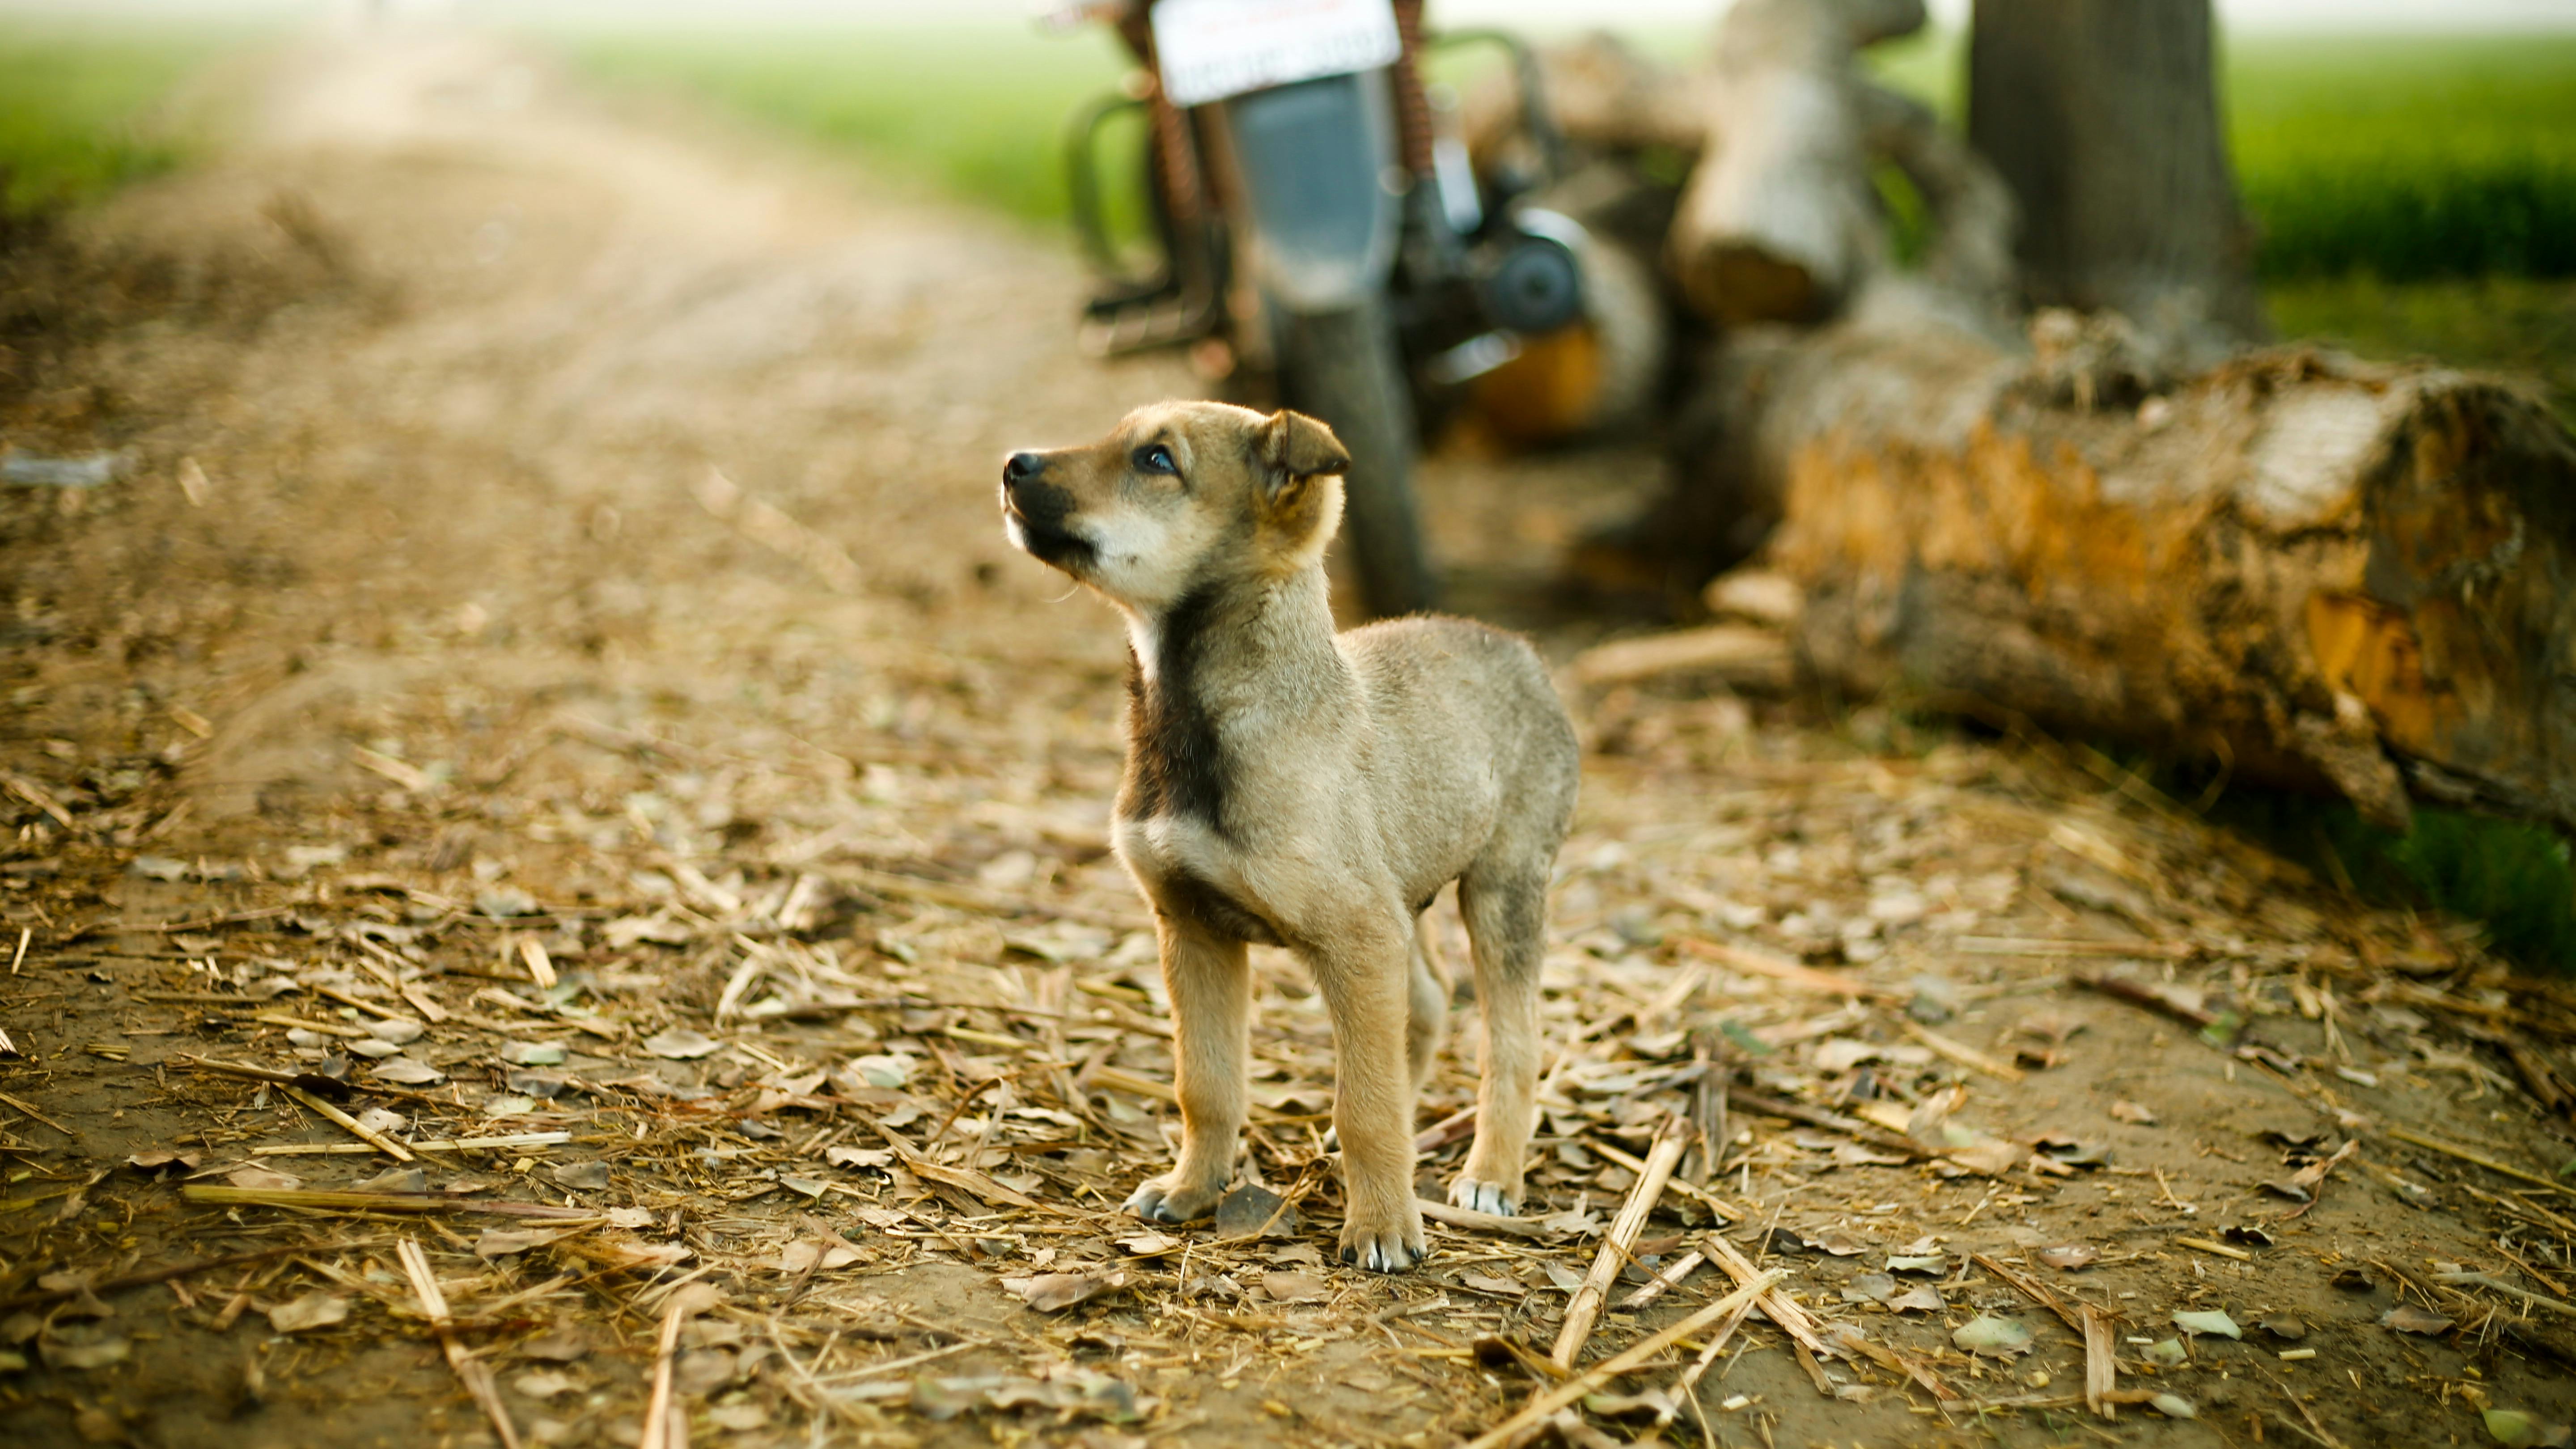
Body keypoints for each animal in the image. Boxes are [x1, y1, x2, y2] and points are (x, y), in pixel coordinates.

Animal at [999, 397, 1566, 1263]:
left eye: (1157, 460)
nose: (1011, 464)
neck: (1196, 722)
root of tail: (1519, 649)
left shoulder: (1352, 937)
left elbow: (1364, 1105)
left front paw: (1382, 1227)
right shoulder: (1195, 930)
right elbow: (1207, 1086)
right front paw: (1193, 1190)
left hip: (1502, 890)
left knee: (1513, 1041)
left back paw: (1491, 1175)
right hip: (1402, 900)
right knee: (1428, 1005)